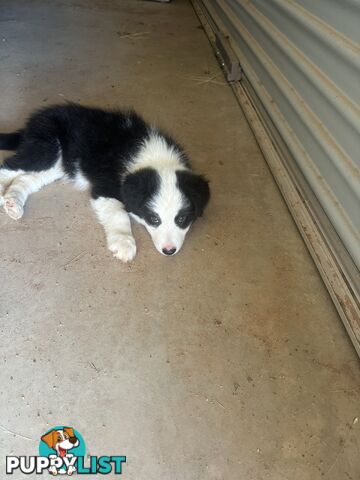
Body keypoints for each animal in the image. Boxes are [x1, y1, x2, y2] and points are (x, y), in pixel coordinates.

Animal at [0, 105, 210, 262]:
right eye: (153, 219)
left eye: (181, 219)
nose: (169, 250)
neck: (152, 156)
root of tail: (32, 122)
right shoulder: (105, 187)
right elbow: (119, 214)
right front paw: (124, 243)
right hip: (47, 148)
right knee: (8, 167)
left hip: (58, 164)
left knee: (26, 178)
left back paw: (13, 204)